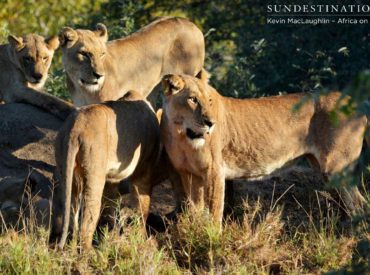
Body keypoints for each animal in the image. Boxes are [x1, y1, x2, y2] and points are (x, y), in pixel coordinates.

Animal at [52, 91, 160, 251]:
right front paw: (142, 238)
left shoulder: (111, 179)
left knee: (72, 212)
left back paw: (71, 248)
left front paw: (110, 236)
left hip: (67, 170)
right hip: (94, 171)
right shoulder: (144, 170)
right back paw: (88, 252)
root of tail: (75, 127)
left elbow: (111, 205)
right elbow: (142, 204)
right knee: (88, 216)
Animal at [161, 71, 368, 226]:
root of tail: (356, 103)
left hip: (337, 167)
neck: (183, 135)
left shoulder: (214, 171)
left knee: (359, 204)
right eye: (193, 99)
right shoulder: (188, 173)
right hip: (323, 169)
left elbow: (214, 212)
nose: (211, 123)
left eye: (210, 100)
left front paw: (212, 240)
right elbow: (194, 210)